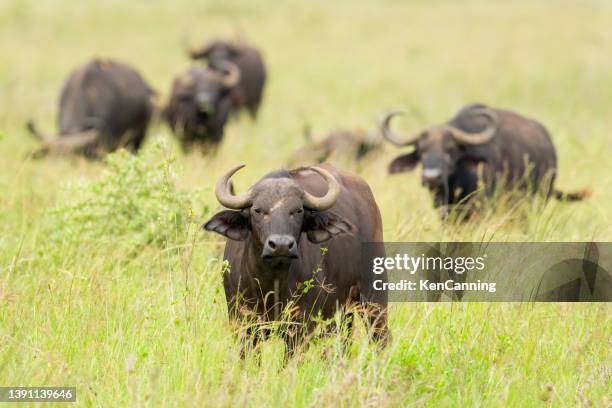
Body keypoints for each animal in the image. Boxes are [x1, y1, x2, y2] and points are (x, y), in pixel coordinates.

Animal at [204, 164, 388, 356]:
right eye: (258, 210)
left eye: (297, 211)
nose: (281, 245)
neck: (271, 284)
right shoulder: (243, 325)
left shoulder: (299, 328)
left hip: (374, 298)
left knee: (379, 337)